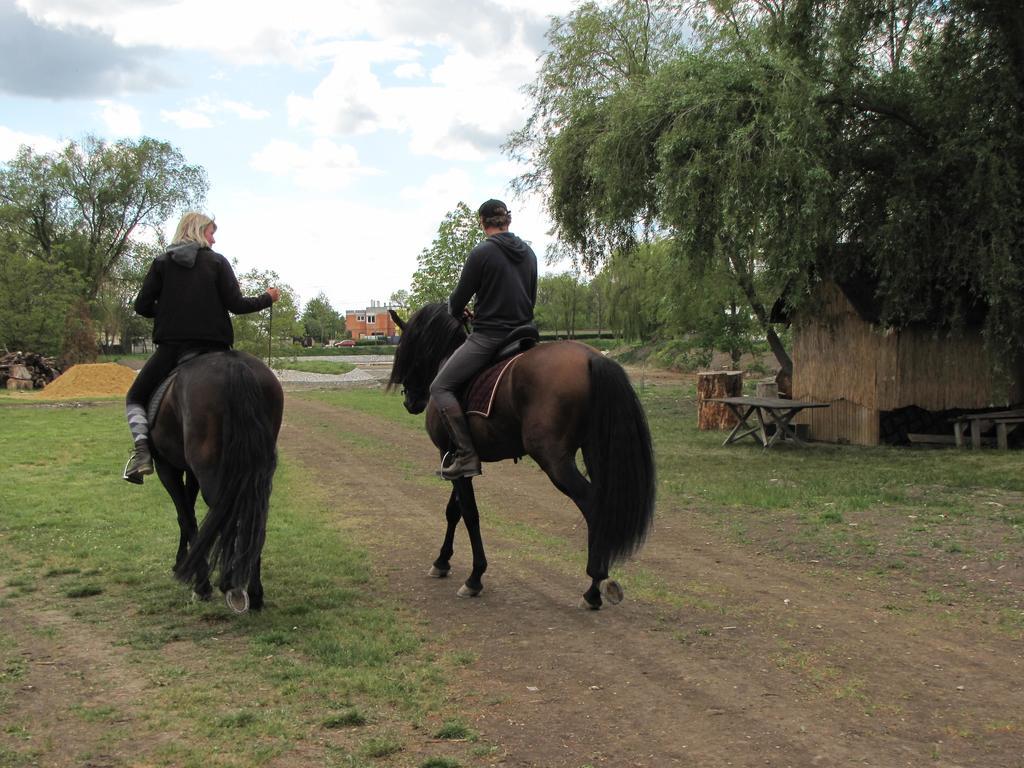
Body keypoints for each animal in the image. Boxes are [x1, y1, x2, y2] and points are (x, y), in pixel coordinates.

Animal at [149, 350, 284, 614]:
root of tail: (234, 365)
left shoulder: (166, 468)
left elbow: (186, 516)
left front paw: (199, 582)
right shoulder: (190, 472)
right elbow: (188, 513)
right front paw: (183, 562)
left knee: (226, 515)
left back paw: (229, 584)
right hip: (256, 475)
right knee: (254, 516)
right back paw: (254, 591)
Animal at [385, 303, 655, 610]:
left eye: (407, 350)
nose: (410, 401)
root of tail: (591, 358)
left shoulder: (450, 454)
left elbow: (469, 514)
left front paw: (475, 576)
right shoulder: (458, 461)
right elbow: (454, 511)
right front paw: (442, 562)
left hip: (555, 460)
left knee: (592, 504)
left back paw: (594, 586)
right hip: (595, 451)